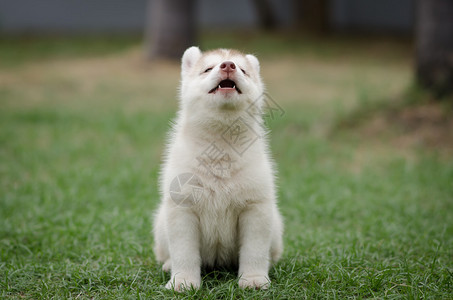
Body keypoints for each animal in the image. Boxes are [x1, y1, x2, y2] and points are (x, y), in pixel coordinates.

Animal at [154, 46, 280, 290]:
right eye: (208, 68)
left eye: (243, 70)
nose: (228, 65)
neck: (221, 147)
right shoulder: (182, 210)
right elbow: (184, 253)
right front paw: (183, 281)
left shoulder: (255, 208)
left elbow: (255, 251)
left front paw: (253, 279)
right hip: (160, 225)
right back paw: (168, 265)